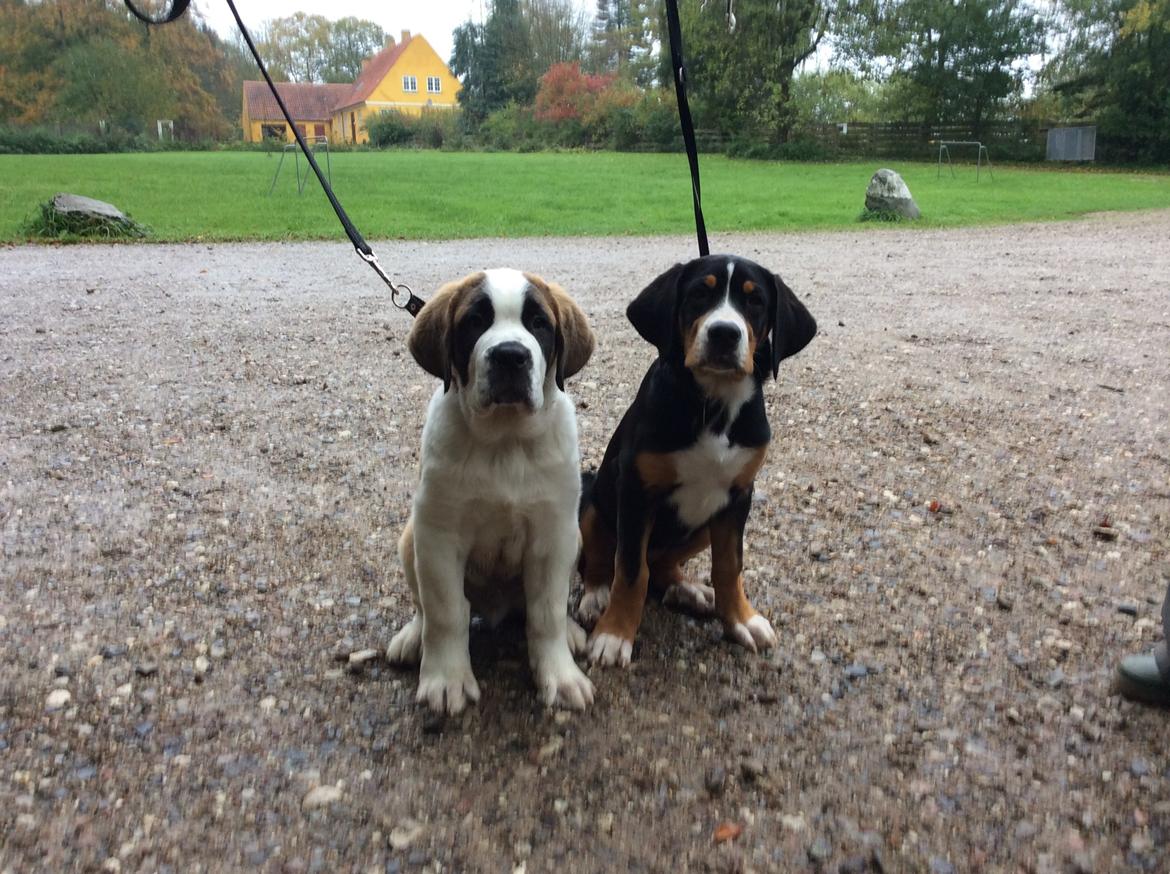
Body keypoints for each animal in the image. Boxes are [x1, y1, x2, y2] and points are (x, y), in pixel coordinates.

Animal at [388, 270, 599, 716]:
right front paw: (447, 679)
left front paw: (560, 676)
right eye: (474, 322)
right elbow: (445, 611)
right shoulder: (438, 536)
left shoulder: (554, 537)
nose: (509, 356)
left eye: (538, 323)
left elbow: (546, 613)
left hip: (574, 539)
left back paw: (571, 632)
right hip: (411, 539)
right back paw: (413, 638)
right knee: (424, 607)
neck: (505, 441)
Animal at [573, 256, 814, 664]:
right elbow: (631, 570)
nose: (724, 334)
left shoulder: (737, 497)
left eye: (756, 301)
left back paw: (687, 589)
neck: (712, 405)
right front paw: (614, 634)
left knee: (662, 564)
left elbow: (729, 566)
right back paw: (595, 598)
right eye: (700, 293)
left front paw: (741, 620)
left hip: (703, 522)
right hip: (592, 498)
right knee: (603, 559)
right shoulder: (636, 491)